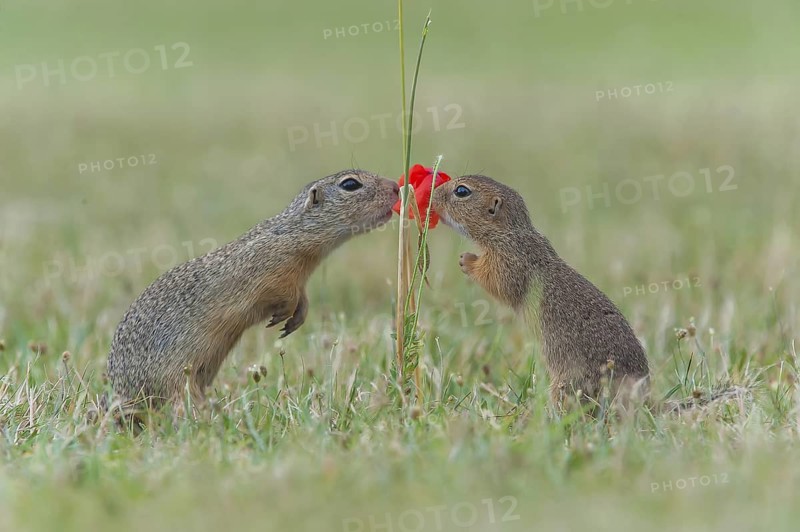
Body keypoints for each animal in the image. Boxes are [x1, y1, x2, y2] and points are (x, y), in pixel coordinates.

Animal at [107, 169, 399, 407]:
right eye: (350, 184)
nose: (396, 186)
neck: (295, 234)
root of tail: (117, 393)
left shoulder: (298, 282)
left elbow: (302, 299)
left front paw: (297, 319)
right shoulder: (272, 273)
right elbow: (282, 296)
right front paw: (283, 316)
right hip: (174, 381)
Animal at [431, 174, 650, 409]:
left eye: (462, 191)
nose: (432, 195)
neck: (510, 232)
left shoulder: (510, 258)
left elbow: (498, 281)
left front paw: (467, 261)